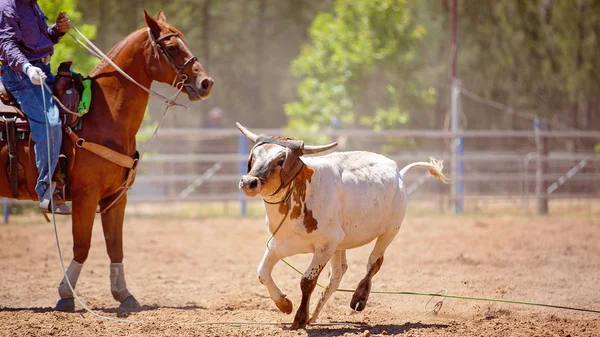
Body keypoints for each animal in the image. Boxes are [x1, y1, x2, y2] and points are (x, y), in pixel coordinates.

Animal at [0, 9, 213, 310]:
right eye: (171, 47)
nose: (206, 83)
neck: (103, 112)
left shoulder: (115, 197)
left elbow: (115, 246)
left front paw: (124, 295)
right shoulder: (86, 196)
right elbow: (82, 246)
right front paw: (66, 295)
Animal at [237, 122, 448, 328]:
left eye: (281, 161)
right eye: (254, 157)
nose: (248, 182)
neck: (300, 192)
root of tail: (398, 173)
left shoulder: (325, 245)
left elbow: (307, 281)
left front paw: (299, 319)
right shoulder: (279, 245)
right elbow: (262, 273)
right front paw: (284, 304)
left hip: (390, 231)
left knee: (374, 262)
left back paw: (359, 297)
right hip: (340, 245)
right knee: (338, 274)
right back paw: (314, 315)